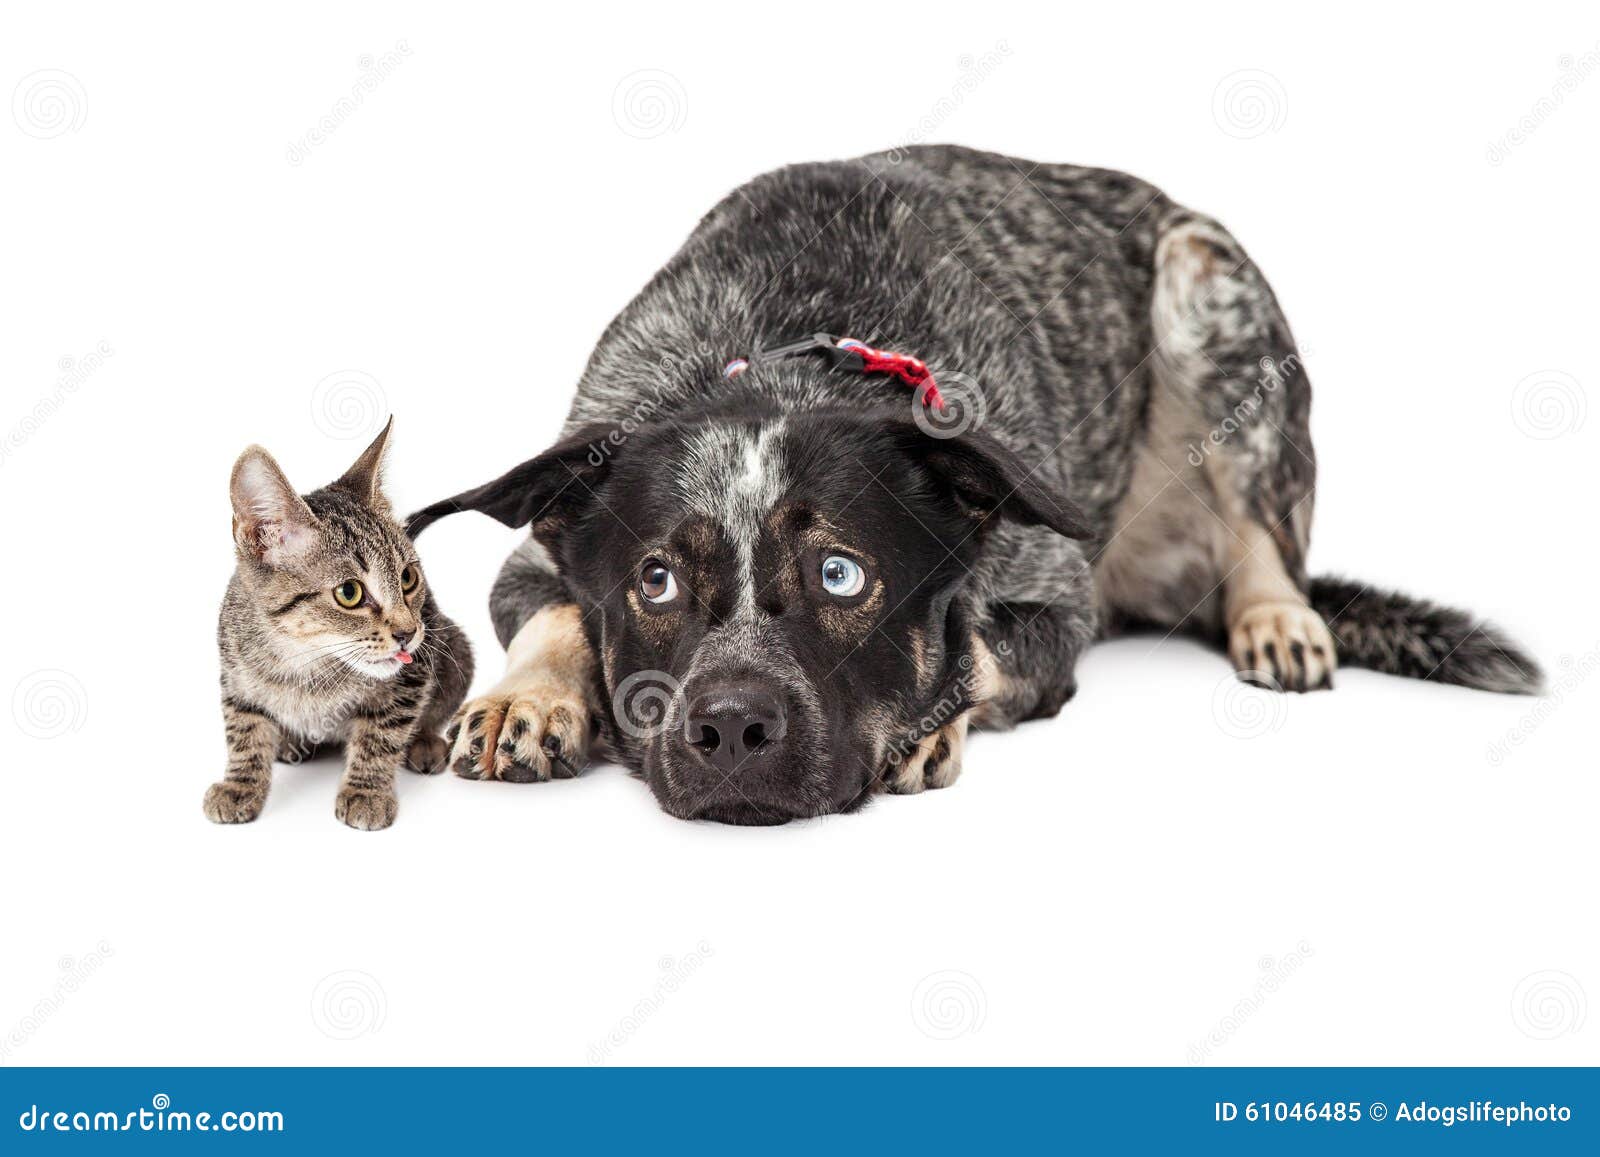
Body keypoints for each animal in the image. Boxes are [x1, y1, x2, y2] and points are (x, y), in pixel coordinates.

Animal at [203, 422, 470, 825]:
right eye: (349, 593)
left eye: (408, 577)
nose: (408, 633)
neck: (302, 658)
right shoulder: (235, 675)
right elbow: (244, 731)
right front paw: (240, 784)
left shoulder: (413, 674)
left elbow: (382, 733)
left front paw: (366, 790)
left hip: (455, 649)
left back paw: (424, 743)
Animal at [406, 149, 1542, 825]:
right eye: (655, 581)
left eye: (840, 574)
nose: (732, 729)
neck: (789, 354)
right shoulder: (534, 556)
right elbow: (555, 610)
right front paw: (528, 698)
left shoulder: (1054, 603)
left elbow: (981, 649)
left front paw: (932, 717)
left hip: (1202, 278)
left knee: (1263, 532)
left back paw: (1275, 614)